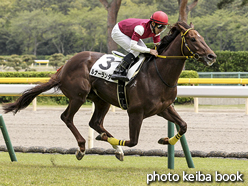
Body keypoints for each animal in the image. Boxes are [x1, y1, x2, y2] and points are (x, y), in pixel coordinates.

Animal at [2, 21, 215, 161]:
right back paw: (82, 147)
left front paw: (165, 140)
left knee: (95, 122)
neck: (157, 74)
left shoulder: (164, 108)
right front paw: (106, 140)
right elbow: (133, 141)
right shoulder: (135, 112)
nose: (212, 56)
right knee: (67, 118)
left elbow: (184, 125)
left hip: (101, 100)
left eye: (202, 38)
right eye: (193, 39)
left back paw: (115, 150)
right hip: (78, 96)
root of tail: (64, 67)